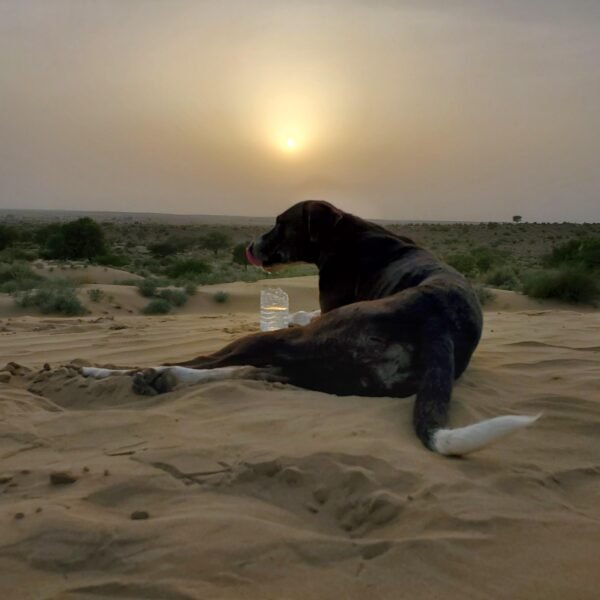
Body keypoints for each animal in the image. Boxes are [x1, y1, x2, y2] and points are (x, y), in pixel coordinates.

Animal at [82, 202, 536, 454]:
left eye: (281, 223)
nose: (249, 247)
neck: (346, 234)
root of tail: (437, 324)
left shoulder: (325, 310)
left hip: (296, 341)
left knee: (208, 361)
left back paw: (114, 371)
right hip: (327, 372)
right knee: (250, 372)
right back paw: (156, 378)